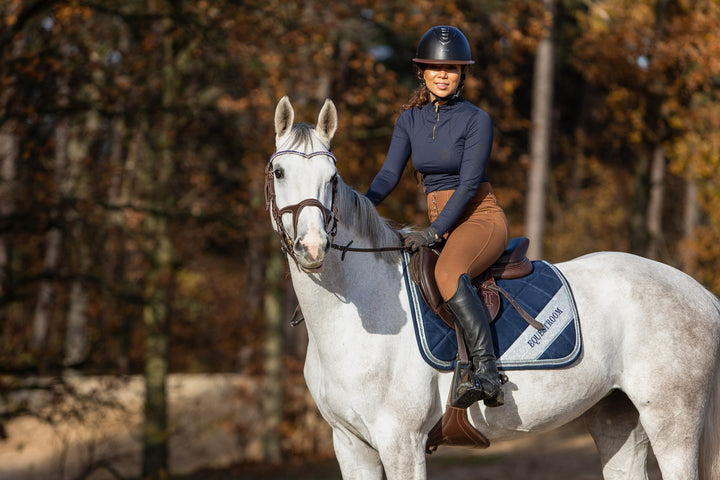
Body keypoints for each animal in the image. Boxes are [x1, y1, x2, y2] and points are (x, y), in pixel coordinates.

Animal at [268, 94, 720, 480]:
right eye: (279, 172)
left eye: (332, 178)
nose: (312, 247)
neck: (358, 318)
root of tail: (700, 292)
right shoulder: (350, 445)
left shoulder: (400, 442)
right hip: (617, 415)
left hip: (672, 420)